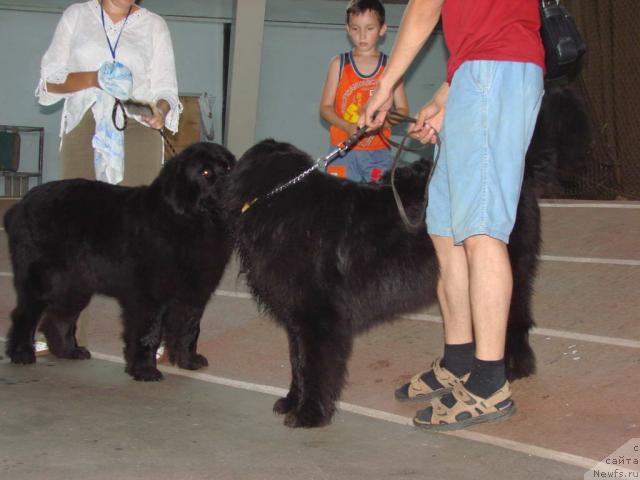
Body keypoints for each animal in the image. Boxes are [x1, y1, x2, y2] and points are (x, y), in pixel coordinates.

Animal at [5, 141, 235, 380]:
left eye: (228, 168)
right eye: (205, 172)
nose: (233, 186)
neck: (190, 222)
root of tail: (20, 205)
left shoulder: (194, 294)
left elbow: (189, 329)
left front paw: (188, 360)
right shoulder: (150, 295)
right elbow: (148, 333)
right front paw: (145, 370)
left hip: (75, 285)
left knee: (58, 318)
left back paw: (69, 351)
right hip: (44, 280)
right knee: (25, 315)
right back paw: (22, 353)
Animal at [222, 88, 588, 430]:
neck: (284, 205)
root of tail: (517, 176)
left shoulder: (319, 316)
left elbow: (313, 364)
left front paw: (310, 412)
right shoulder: (297, 315)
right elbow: (297, 360)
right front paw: (291, 400)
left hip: (506, 263)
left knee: (514, 319)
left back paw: (512, 368)